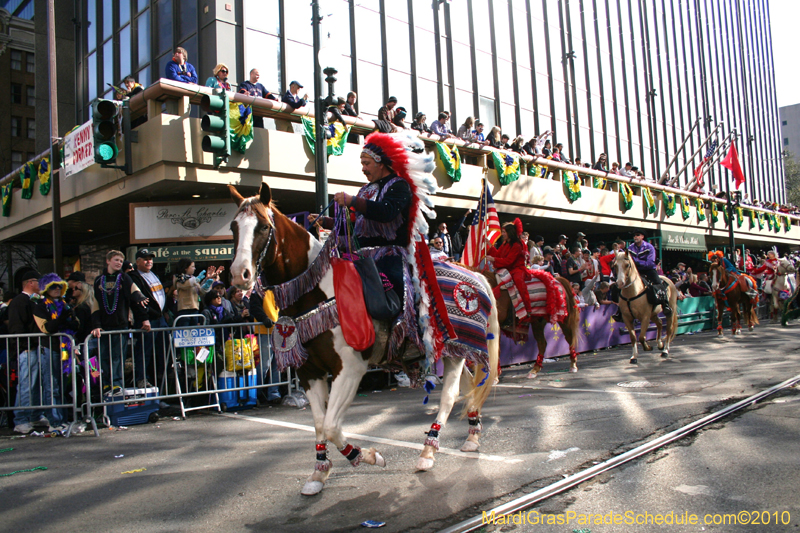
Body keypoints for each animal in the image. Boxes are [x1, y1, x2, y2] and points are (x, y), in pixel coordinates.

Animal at [227, 182, 500, 494]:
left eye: (262, 226)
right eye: (234, 227)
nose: (239, 276)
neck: (316, 290)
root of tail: (477, 276)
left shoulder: (350, 369)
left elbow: (332, 426)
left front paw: (368, 456)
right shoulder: (309, 371)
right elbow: (320, 425)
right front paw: (319, 473)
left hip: (456, 350)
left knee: (449, 396)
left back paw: (428, 452)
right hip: (455, 350)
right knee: (467, 386)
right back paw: (472, 436)